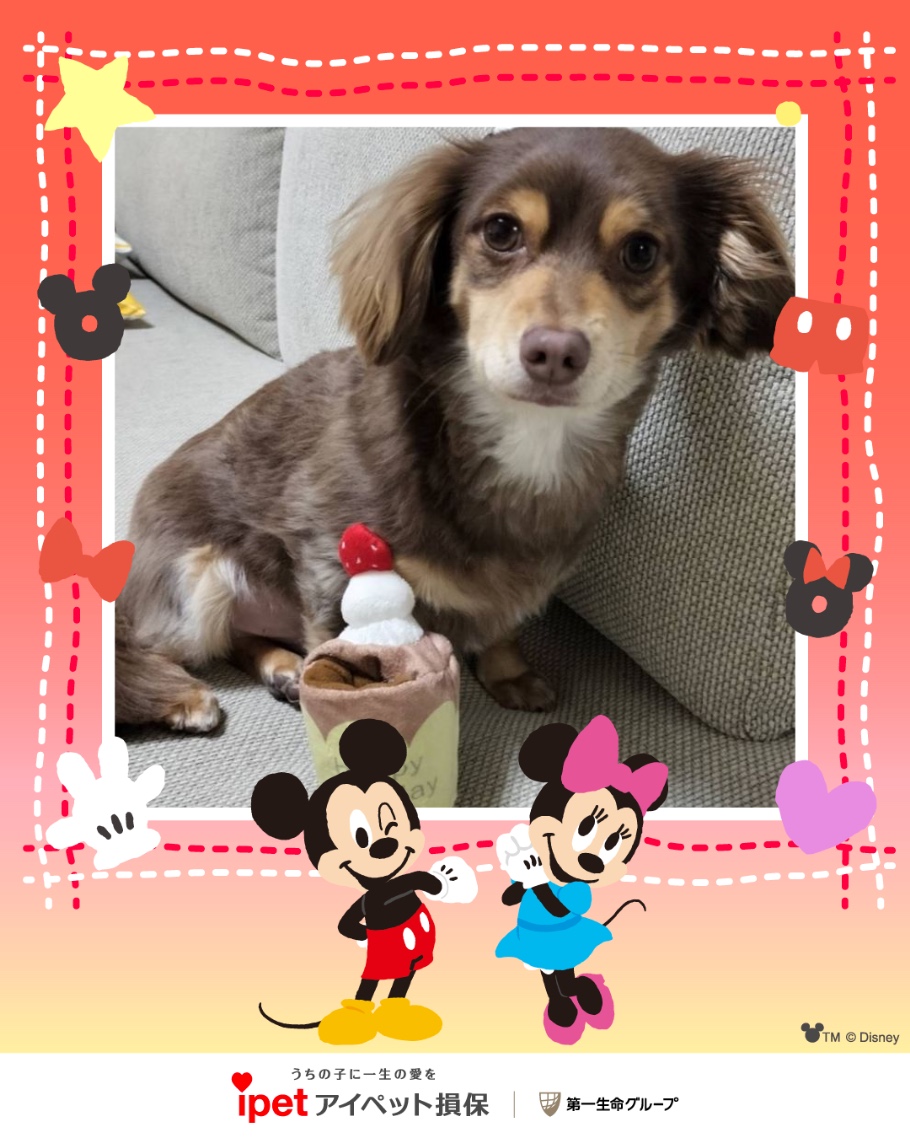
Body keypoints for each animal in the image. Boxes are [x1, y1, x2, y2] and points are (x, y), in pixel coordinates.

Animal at [116, 127, 794, 732]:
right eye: (501, 231)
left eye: (642, 250)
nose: (555, 352)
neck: (526, 441)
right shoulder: (328, 556)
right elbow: (341, 646)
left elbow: (502, 624)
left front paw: (509, 672)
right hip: (193, 586)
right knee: (153, 644)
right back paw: (188, 696)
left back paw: (281, 665)